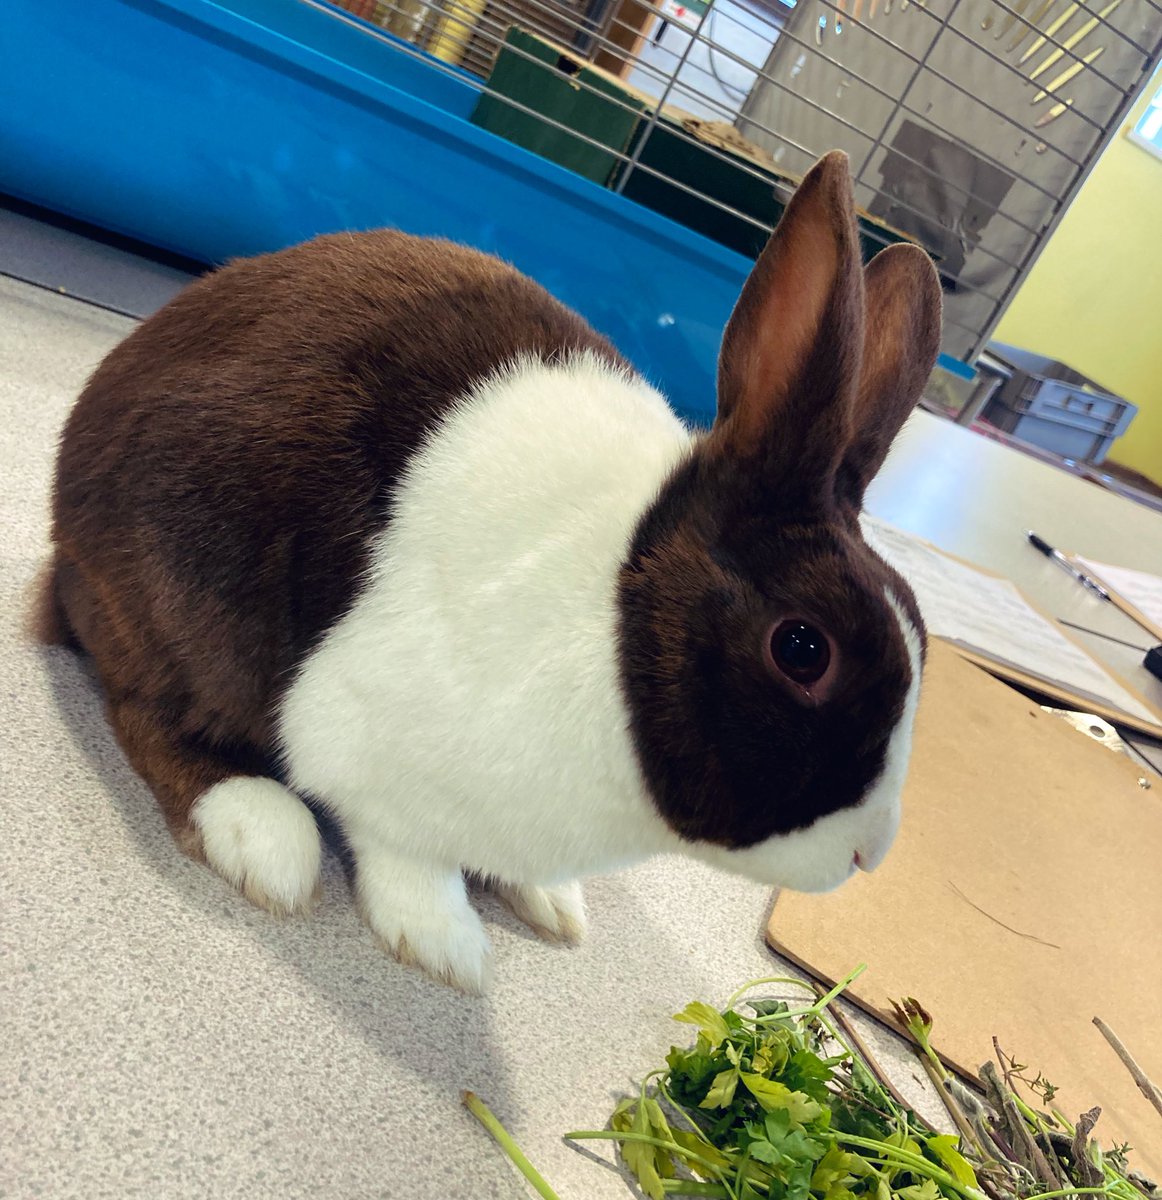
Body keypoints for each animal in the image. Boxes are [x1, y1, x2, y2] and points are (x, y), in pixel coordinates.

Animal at [40, 150, 940, 993]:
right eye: (803, 649)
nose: (868, 854)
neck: (614, 606)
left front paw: (550, 906)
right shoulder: (372, 750)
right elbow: (405, 854)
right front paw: (446, 948)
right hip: (180, 591)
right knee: (145, 707)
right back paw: (264, 837)